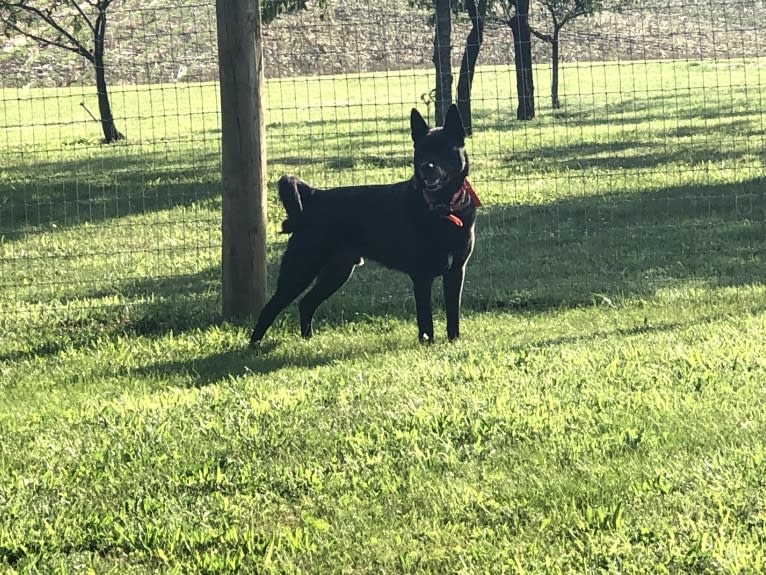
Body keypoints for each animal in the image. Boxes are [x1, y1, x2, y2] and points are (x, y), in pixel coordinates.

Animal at [252, 103, 480, 346]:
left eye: (444, 149)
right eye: (421, 151)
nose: (426, 166)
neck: (443, 209)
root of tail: (314, 197)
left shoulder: (455, 272)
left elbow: (453, 315)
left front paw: (454, 342)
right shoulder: (422, 276)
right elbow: (426, 319)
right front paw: (427, 344)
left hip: (337, 272)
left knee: (306, 303)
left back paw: (308, 339)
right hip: (300, 270)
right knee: (270, 308)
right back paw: (254, 346)